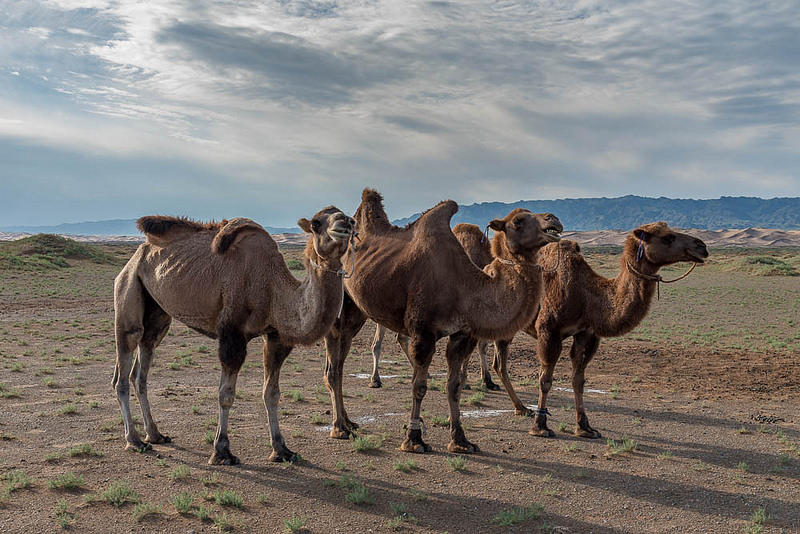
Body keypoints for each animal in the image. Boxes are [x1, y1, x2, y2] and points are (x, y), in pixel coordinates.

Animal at [111, 207, 354, 466]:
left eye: (348, 216)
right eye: (317, 223)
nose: (345, 224)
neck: (273, 287)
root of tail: (138, 253)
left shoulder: (276, 337)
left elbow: (272, 393)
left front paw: (281, 449)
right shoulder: (232, 334)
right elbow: (225, 395)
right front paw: (222, 451)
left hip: (158, 313)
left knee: (142, 365)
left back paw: (155, 434)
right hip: (129, 285)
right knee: (124, 364)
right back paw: (134, 440)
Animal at [320, 191, 564, 454]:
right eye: (518, 221)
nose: (554, 219)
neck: (466, 286)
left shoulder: (462, 334)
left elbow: (454, 386)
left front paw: (460, 440)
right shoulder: (423, 331)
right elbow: (419, 386)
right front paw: (414, 439)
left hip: (356, 312)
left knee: (339, 362)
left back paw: (349, 422)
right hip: (338, 306)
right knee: (333, 367)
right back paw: (339, 428)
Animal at [460, 222, 708, 440]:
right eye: (667, 237)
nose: (701, 246)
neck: (587, 295)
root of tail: (487, 267)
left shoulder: (586, 333)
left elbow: (578, 380)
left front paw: (585, 427)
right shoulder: (549, 330)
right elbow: (545, 380)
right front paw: (540, 426)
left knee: (496, 359)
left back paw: (518, 406)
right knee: (490, 356)